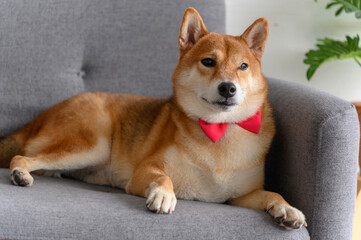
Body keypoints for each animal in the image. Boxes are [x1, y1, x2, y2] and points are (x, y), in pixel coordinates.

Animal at [0, 7, 304, 229]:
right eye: (208, 62)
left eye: (243, 66)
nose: (228, 88)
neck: (218, 131)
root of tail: (43, 114)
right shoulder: (145, 170)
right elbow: (162, 177)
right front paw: (163, 194)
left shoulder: (242, 196)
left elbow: (273, 194)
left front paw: (288, 209)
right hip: (91, 145)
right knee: (23, 156)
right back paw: (20, 173)